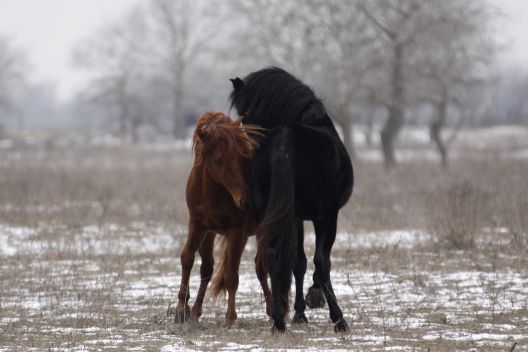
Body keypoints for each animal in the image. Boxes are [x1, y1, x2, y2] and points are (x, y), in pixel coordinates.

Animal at [174, 111, 270, 326]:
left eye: (242, 157)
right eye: (217, 160)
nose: (246, 201)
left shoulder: (236, 231)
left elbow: (231, 274)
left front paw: (230, 317)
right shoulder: (198, 224)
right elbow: (188, 258)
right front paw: (182, 310)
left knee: (264, 266)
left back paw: (279, 310)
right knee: (209, 268)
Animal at [229, 66, 352, 332]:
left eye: (245, 115)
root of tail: (282, 147)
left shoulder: (294, 216)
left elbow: (298, 262)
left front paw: (298, 313)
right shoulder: (325, 216)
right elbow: (319, 261)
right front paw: (314, 299)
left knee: (273, 254)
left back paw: (278, 321)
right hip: (324, 216)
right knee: (321, 261)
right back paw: (338, 318)